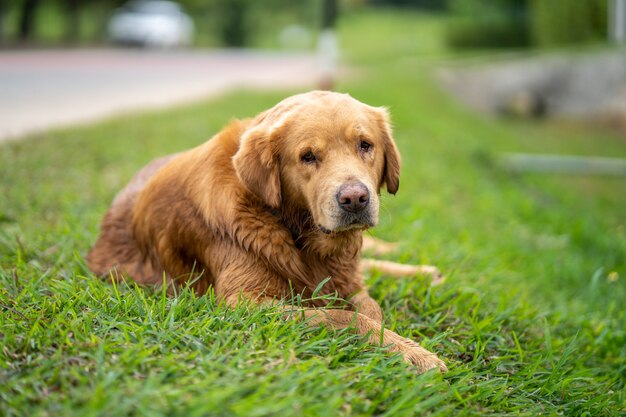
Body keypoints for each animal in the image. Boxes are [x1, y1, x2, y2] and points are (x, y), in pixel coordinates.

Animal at [88, 90, 446, 370]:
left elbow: (370, 307)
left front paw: (398, 342)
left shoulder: (347, 277)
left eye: (365, 145)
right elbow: (343, 316)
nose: (355, 198)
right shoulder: (244, 302)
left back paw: (423, 270)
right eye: (308, 156)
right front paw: (412, 353)